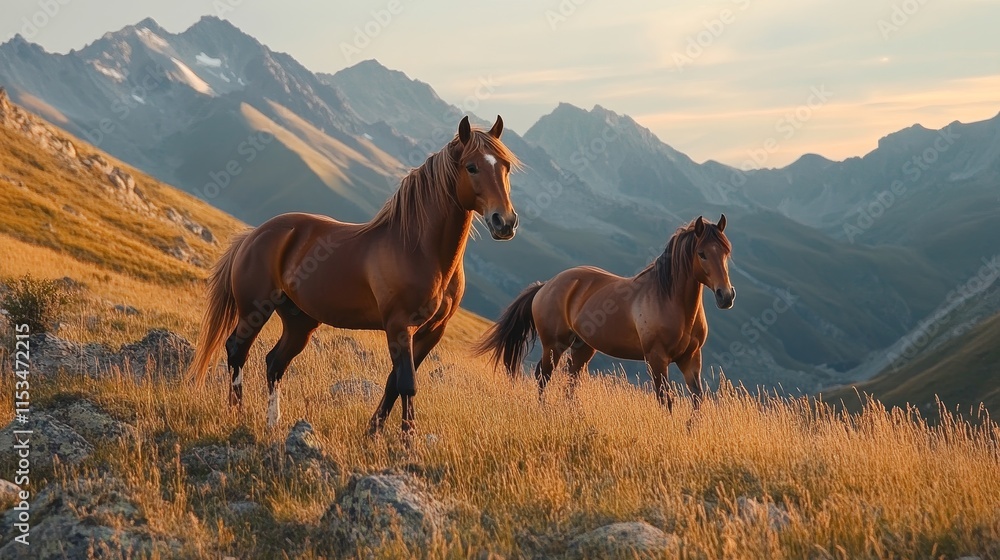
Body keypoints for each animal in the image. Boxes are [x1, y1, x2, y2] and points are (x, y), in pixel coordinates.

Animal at [189, 116, 521, 437]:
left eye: (505, 167)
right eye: (471, 167)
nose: (504, 222)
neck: (417, 248)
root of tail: (254, 234)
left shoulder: (432, 332)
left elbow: (393, 383)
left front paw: (373, 433)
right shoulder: (399, 326)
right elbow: (407, 383)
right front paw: (406, 443)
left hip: (300, 322)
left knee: (274, 363)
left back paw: (273, 423)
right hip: (254, 311)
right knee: (237, 350)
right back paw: (237, 413)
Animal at [475, 215, 735, 410]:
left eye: (726, 252)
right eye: (702, 253)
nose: (726, 296)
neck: (670, 301)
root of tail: (546, 285)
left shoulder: (691, 359)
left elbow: (697, 400)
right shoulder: (657, 358)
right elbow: (666, 400)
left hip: (582, 347)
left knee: (571, 379)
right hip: (553, 345)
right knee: (543, 375)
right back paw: (543, 410)